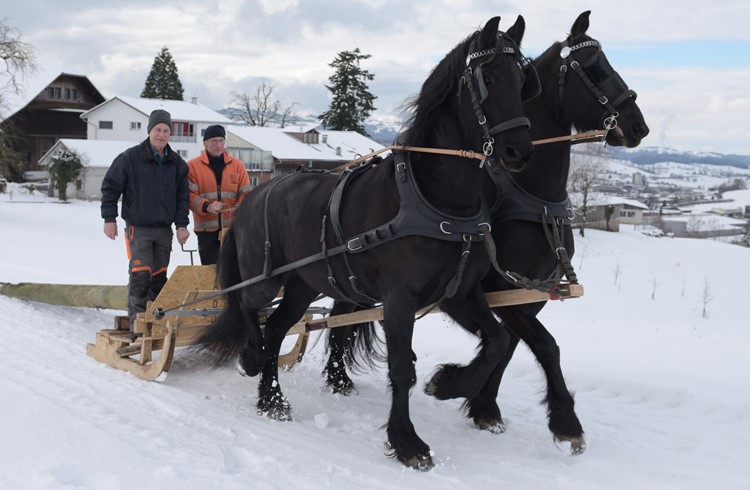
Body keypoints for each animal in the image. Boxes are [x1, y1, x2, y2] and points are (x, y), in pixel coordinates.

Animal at [200, 16, 536, 470]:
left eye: (523, 80)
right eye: (488, 77)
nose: (520, 151)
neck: (435, 198)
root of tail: (251, 196)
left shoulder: (458, 294)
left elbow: (497, 341)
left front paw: (449, 383)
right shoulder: (399, 299)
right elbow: (401, 368)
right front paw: (407, 440)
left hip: (304, 285)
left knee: (277, 327)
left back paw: (272, 399)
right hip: (265, 278)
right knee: (250, 308)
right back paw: (252, 360)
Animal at [326, 10, 648, 456]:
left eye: (524, 82)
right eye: (595, 68)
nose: (638, 126)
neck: (531, 196)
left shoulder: (526, 295)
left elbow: (511, 345)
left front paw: (483, 404)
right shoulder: (495, 290)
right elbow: (540, 345)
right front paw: (554, 416)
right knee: (336, 316)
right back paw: (337, 377)